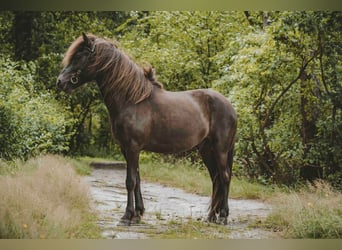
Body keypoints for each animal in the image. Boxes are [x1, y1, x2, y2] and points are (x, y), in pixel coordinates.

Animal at [56, 32, 238, 225]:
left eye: (79, 56)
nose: (60, 82)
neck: (131, 100)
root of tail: (230, 106)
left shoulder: (133, 147)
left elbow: (130, 181)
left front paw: (127, 216)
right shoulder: (126, 148)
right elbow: (137, 179)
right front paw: (137, 214)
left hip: (220, 150)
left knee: (225, 177)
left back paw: (223, 216)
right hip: (206, 150)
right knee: (216, 179)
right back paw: (211, 217)